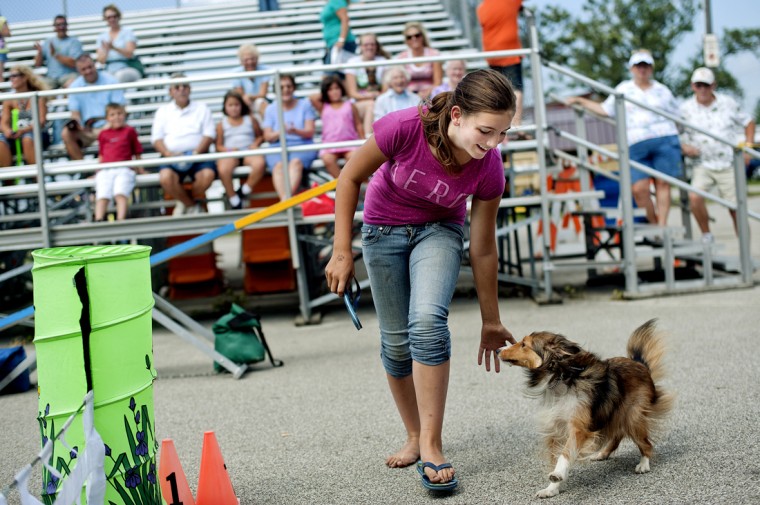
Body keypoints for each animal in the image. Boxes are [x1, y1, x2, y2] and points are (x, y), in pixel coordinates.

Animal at [498, 318, 672, 496]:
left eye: (524, 344)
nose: (498, 349)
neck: (561, 377)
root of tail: (640, 365)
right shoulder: (556, 428)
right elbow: (557, 456)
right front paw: (551, 489)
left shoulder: (578, 428)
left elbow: (565, 454)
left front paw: (557, 475)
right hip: (612, 414)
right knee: (617, 435)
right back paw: (602, 454)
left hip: (632, 416)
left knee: (645, 443)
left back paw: (644, 464)